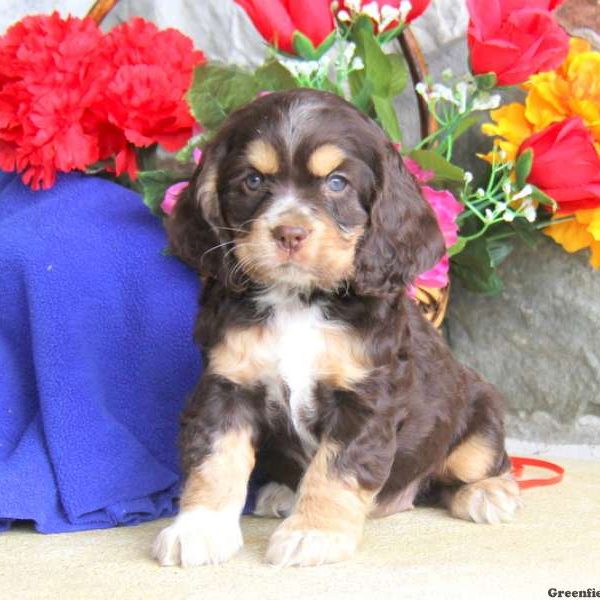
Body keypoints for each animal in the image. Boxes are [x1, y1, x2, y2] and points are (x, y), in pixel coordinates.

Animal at [151, 88, 520, 568]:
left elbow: (333, 471)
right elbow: (214, 461)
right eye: (252, 180)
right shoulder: (225, 385)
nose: (289, 233)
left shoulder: (364, 401)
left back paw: (489, 493)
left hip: (479, 413)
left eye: (337, 183)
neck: (299, 301)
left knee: (480, 464)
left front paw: (313, 533)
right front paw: (199, 529)